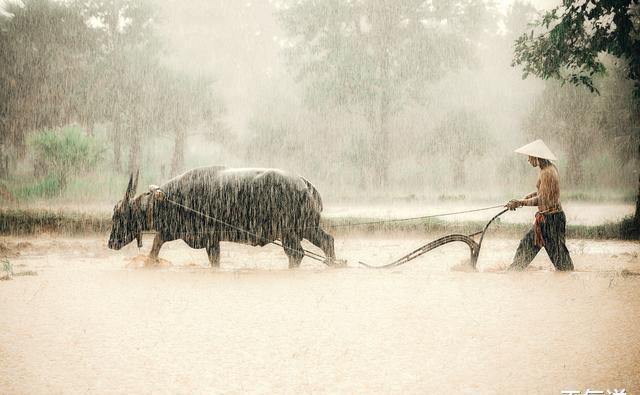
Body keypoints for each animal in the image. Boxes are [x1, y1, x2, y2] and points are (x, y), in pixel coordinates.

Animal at [107, 166, 338, 268]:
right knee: (327, 240)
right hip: (308, 227)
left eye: (119, 216)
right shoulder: (178, 232)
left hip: (289, 231)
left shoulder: (209, 238)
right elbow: (157, 243)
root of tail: (304, 182)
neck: (173, 199)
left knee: (296, 254)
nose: (110, 243)